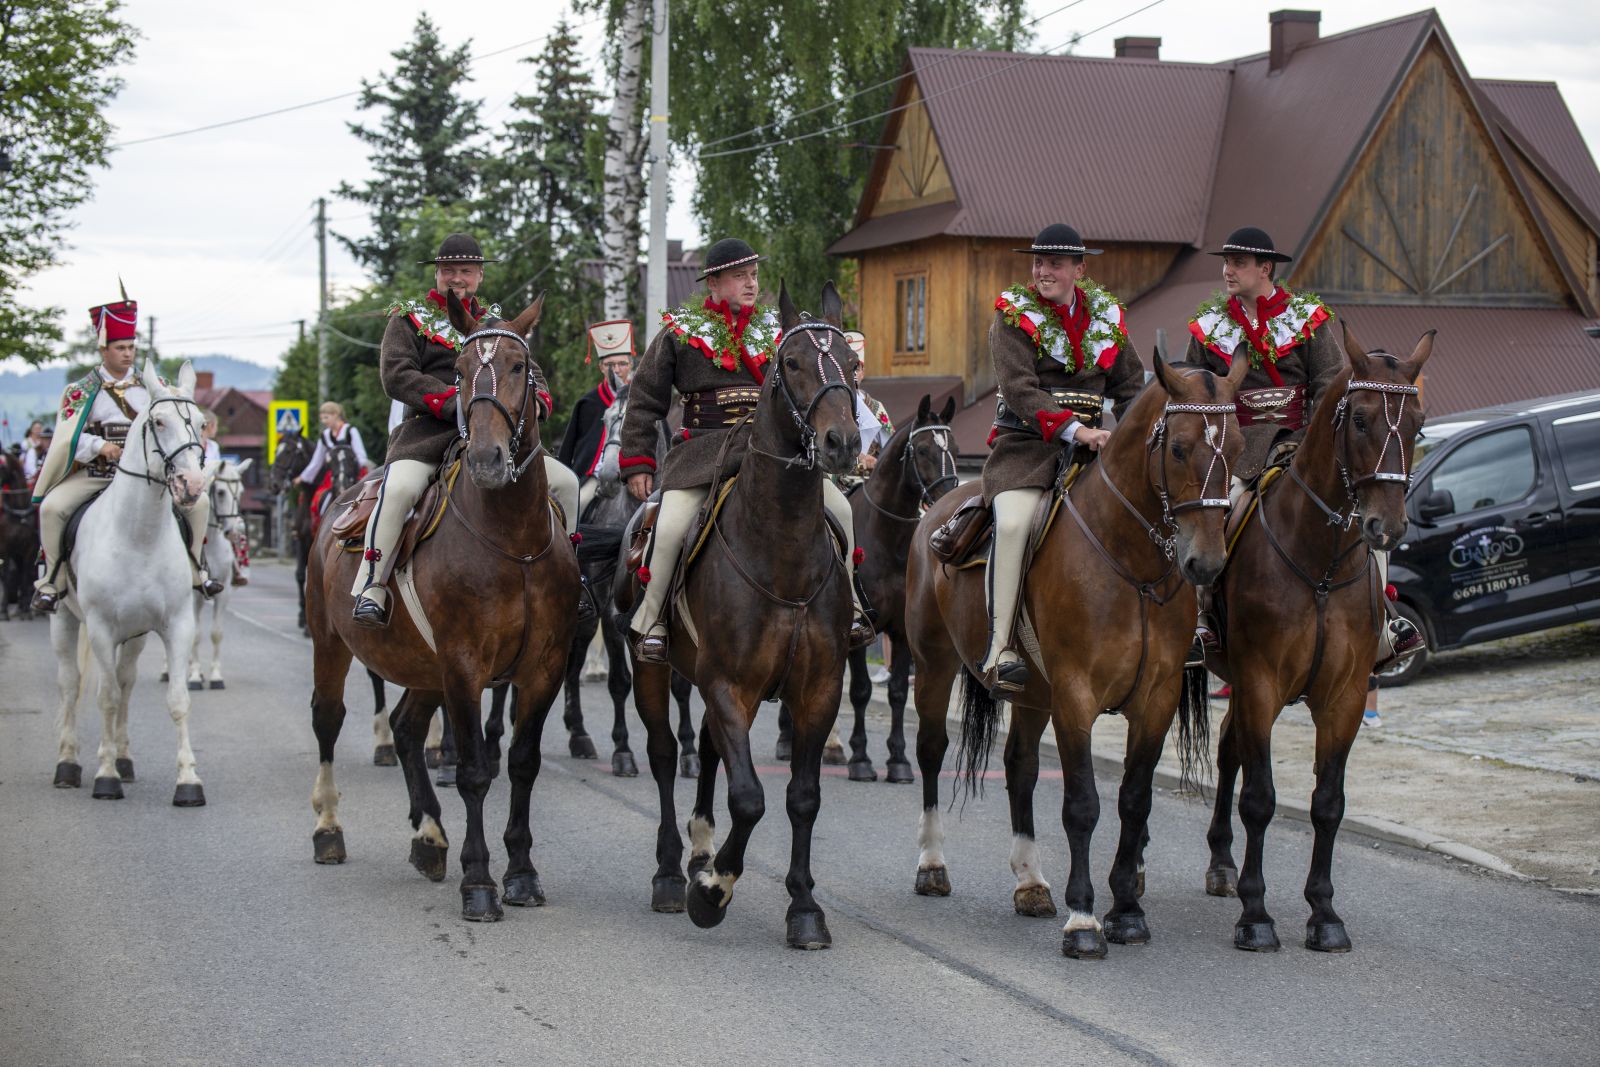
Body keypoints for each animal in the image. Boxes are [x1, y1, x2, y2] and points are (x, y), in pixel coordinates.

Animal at [50, 363, 214, 806]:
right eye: (159, 422)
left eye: (200, 423)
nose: (193, 485)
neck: (139, 535)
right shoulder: (102, 628)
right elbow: (104, 698)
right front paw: (104, 777)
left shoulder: (176, 624)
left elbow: (177, 699)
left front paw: (188, 781)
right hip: (64, 619)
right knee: (71, 684)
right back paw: (68, 764)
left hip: (137, 635)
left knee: (124, 683)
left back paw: (123, 759)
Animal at [302, 294, 579, 927]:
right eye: (457, 372)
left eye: (520, 368)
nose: (487, 459)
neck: (514, 541)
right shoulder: (464, 665)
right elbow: (475, 771)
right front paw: (479, 883)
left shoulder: (543, 668)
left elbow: (521, 763)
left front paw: (521, 873)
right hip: (332, 644)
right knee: (328, 720)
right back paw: (329, 829)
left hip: (422, 667)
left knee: (406, 730)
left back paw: (429, 837)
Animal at [627, 283, 864, 953]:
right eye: (792, 363)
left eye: (851, 363)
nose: (841, 443)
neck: (780, 552)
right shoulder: (727, 683)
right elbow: (751, 797)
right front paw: (712, 892)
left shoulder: (815, 689)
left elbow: (802, 797)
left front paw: (804, 906)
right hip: (653, 671)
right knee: (664, 754)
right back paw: (670, 873)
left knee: (707, 749)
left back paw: (700, 850)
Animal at [902, 350, 1248, 959]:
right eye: (1179, 448)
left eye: (1237, 447)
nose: (1205, 563)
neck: (1129, 564)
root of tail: (937, 510)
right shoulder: (1075, 695)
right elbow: (1083, 803)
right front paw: (1084, 918)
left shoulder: (1155, 700)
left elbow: (1134, 800)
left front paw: (1127, 912)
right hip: (935, 665)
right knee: (931, 749)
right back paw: (932, 863)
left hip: (1032, 694)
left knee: (1018, 765)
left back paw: (1030, 881)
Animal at [1203, 323, 1440, 953]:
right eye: (1358, 418)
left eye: (1418, 424)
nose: (1388, 526)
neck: (1321, 565)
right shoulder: (1260, 684)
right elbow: (1260, 799)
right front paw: (1256, 915)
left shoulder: (1346, 697)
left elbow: (1328, 804)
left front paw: (1324, 913)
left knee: (1229, 752)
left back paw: (1221, 863)